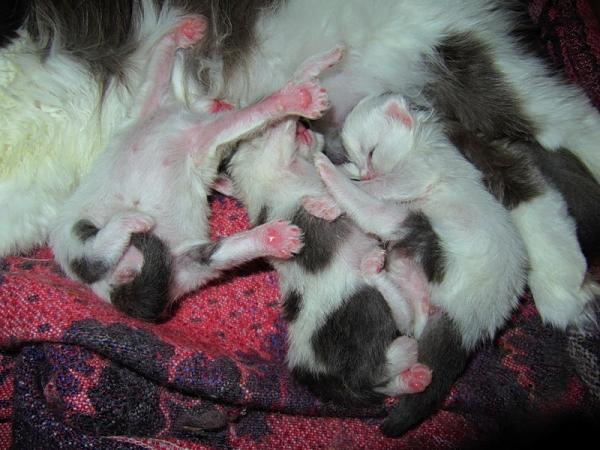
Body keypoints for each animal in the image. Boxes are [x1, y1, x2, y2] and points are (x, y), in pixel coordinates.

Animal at [48, 16, 339, 320]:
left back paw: (274, 237)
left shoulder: (193, 128)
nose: (223, 100)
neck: (182, 110)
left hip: (185, 265)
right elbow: (162, 64)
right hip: (74, 235)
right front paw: (299, 97)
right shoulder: (162, 109)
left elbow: (163, 63)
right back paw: (129, 221)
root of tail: (113, 290)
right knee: (91, 260)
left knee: (216, 254)